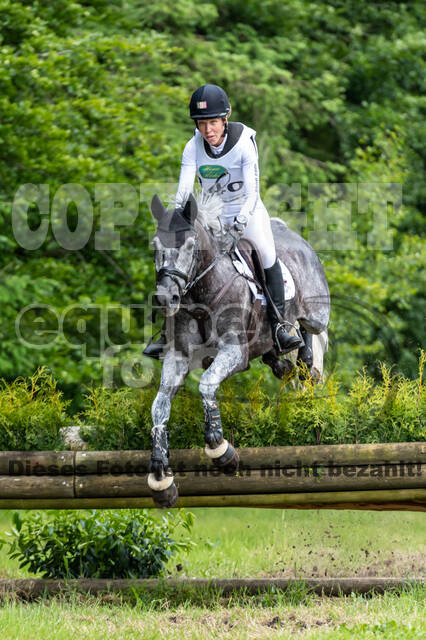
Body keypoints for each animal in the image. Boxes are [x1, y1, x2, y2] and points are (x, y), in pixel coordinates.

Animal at [146, 193, 330, 507]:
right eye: (156, 246)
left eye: (190, 245)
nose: (165, 298)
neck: (203, 293)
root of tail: (295, 237)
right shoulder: (178, 357)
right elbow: (159, 405)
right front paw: (161, 476)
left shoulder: (234, 353)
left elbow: (207, 383)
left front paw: (220, 449)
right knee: (279, 352)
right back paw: (280, 360)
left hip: (318, 313)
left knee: (308, 329)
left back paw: (300, 355)